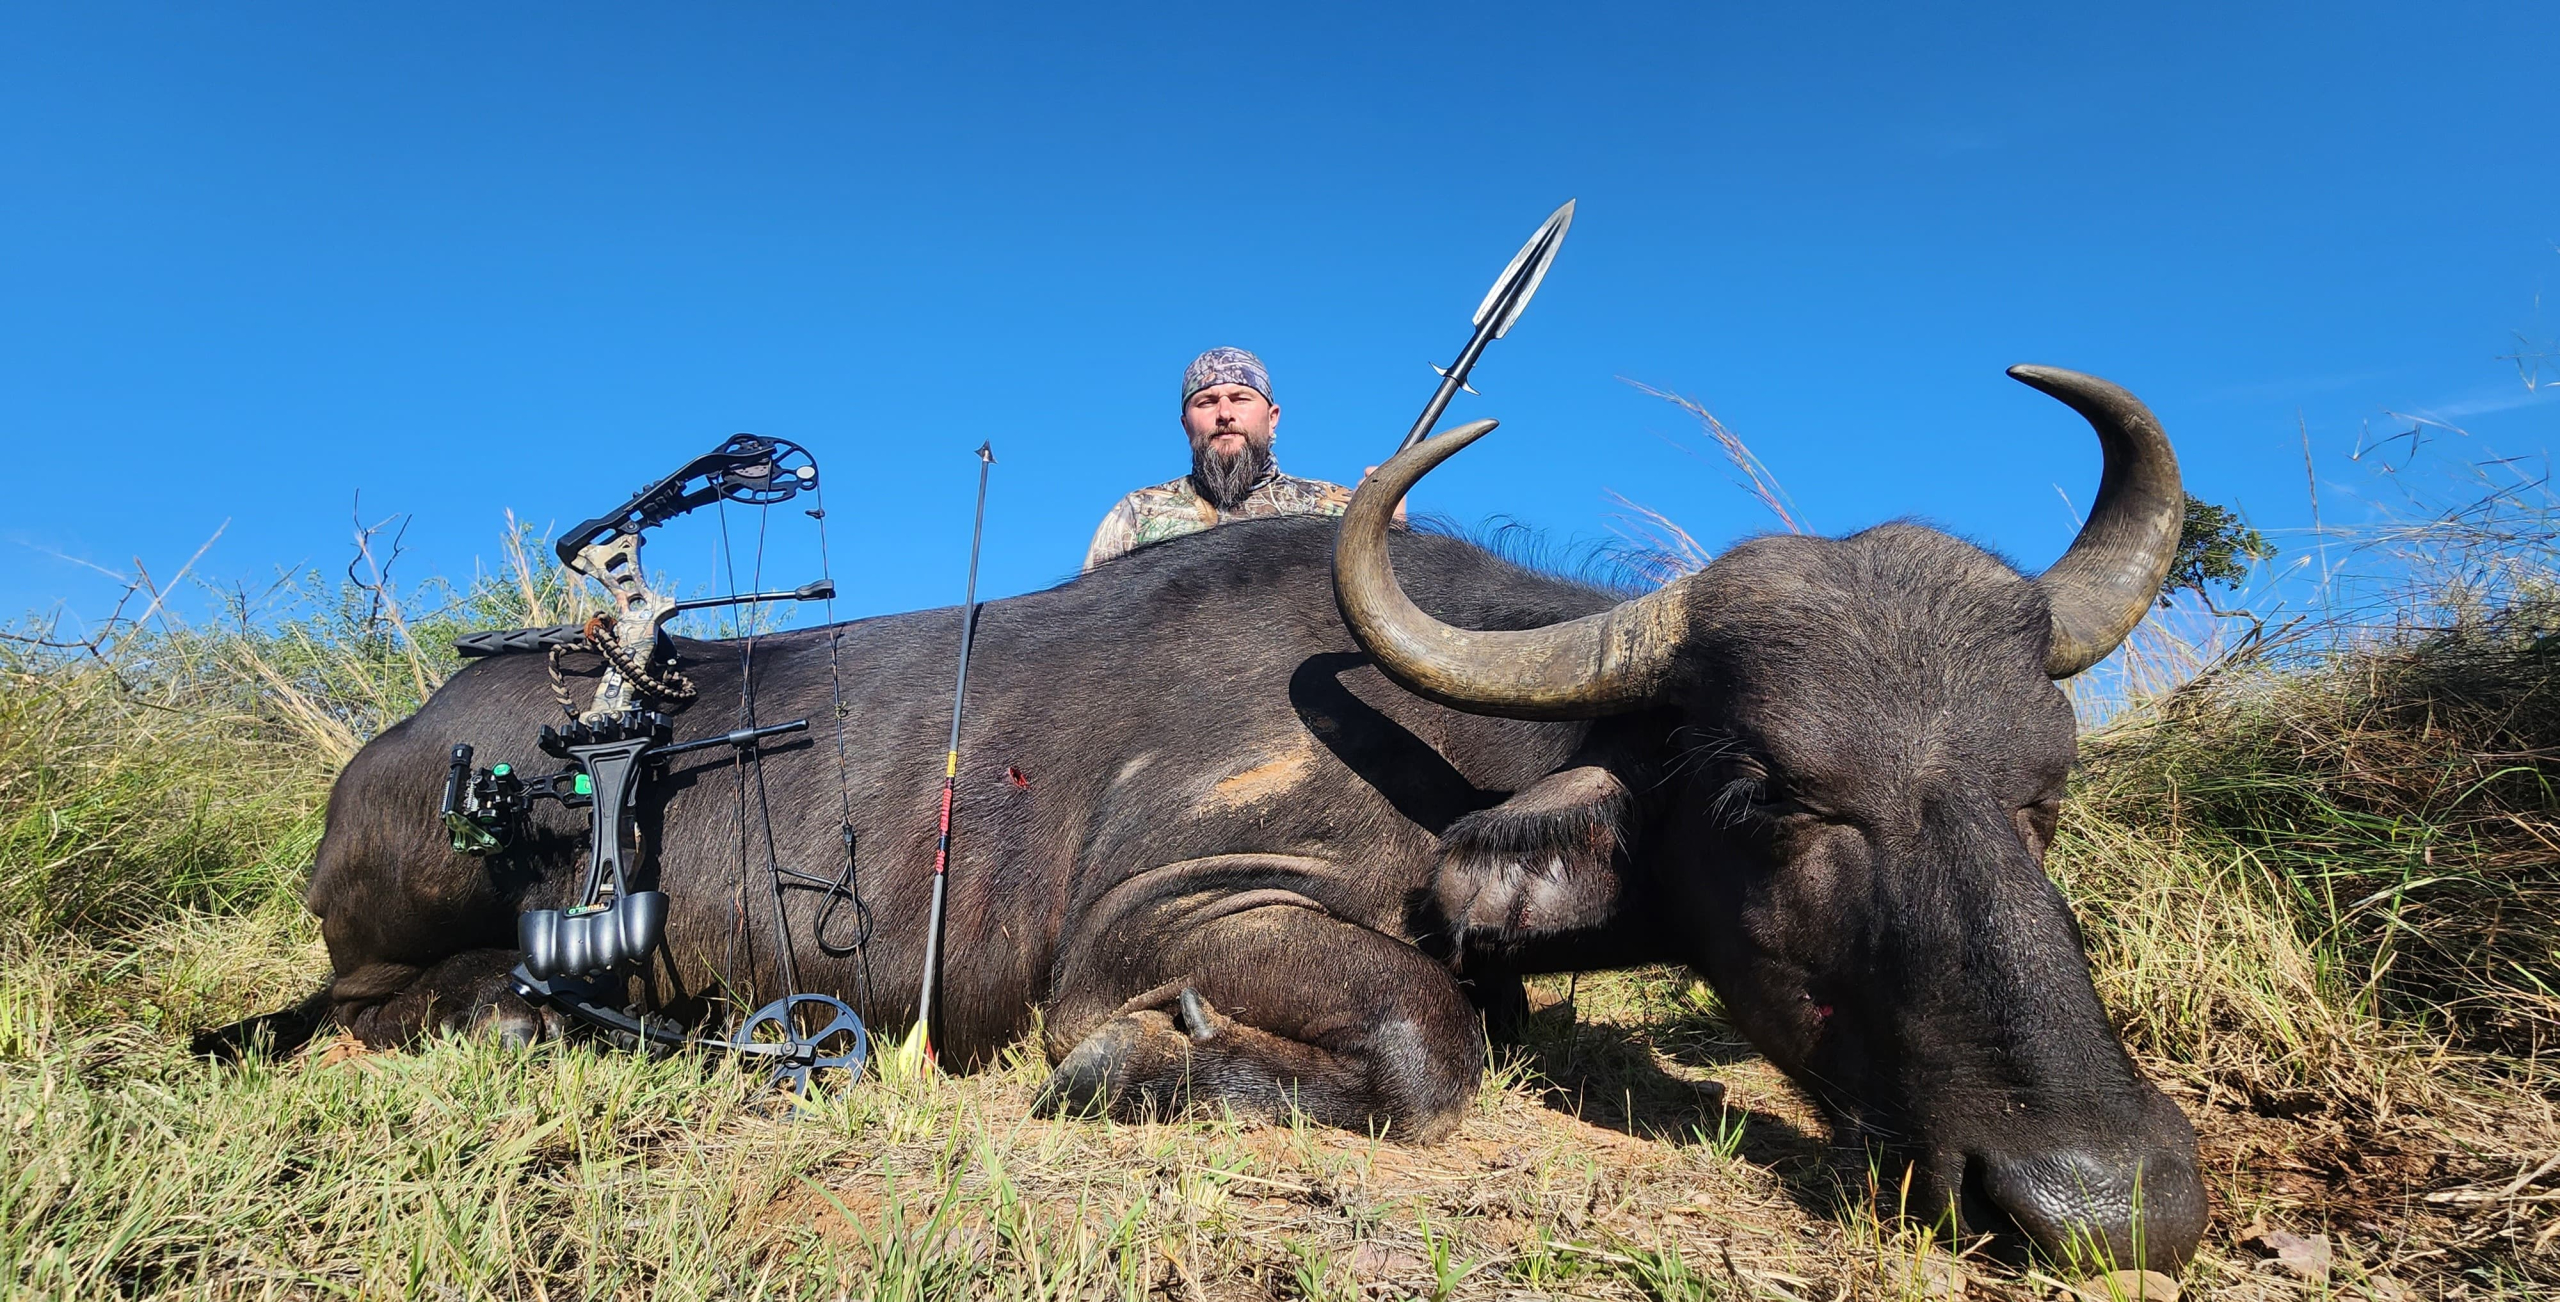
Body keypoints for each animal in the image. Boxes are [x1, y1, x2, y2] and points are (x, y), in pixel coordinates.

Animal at [230, 365, 2207, 1272]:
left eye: (2040, 792)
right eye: (1771, 790)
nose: (2101, 1198)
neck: (1442, 734)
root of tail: (408, 737)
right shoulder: (1166, 917)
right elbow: (1421, 1042)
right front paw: (1146, 1063)